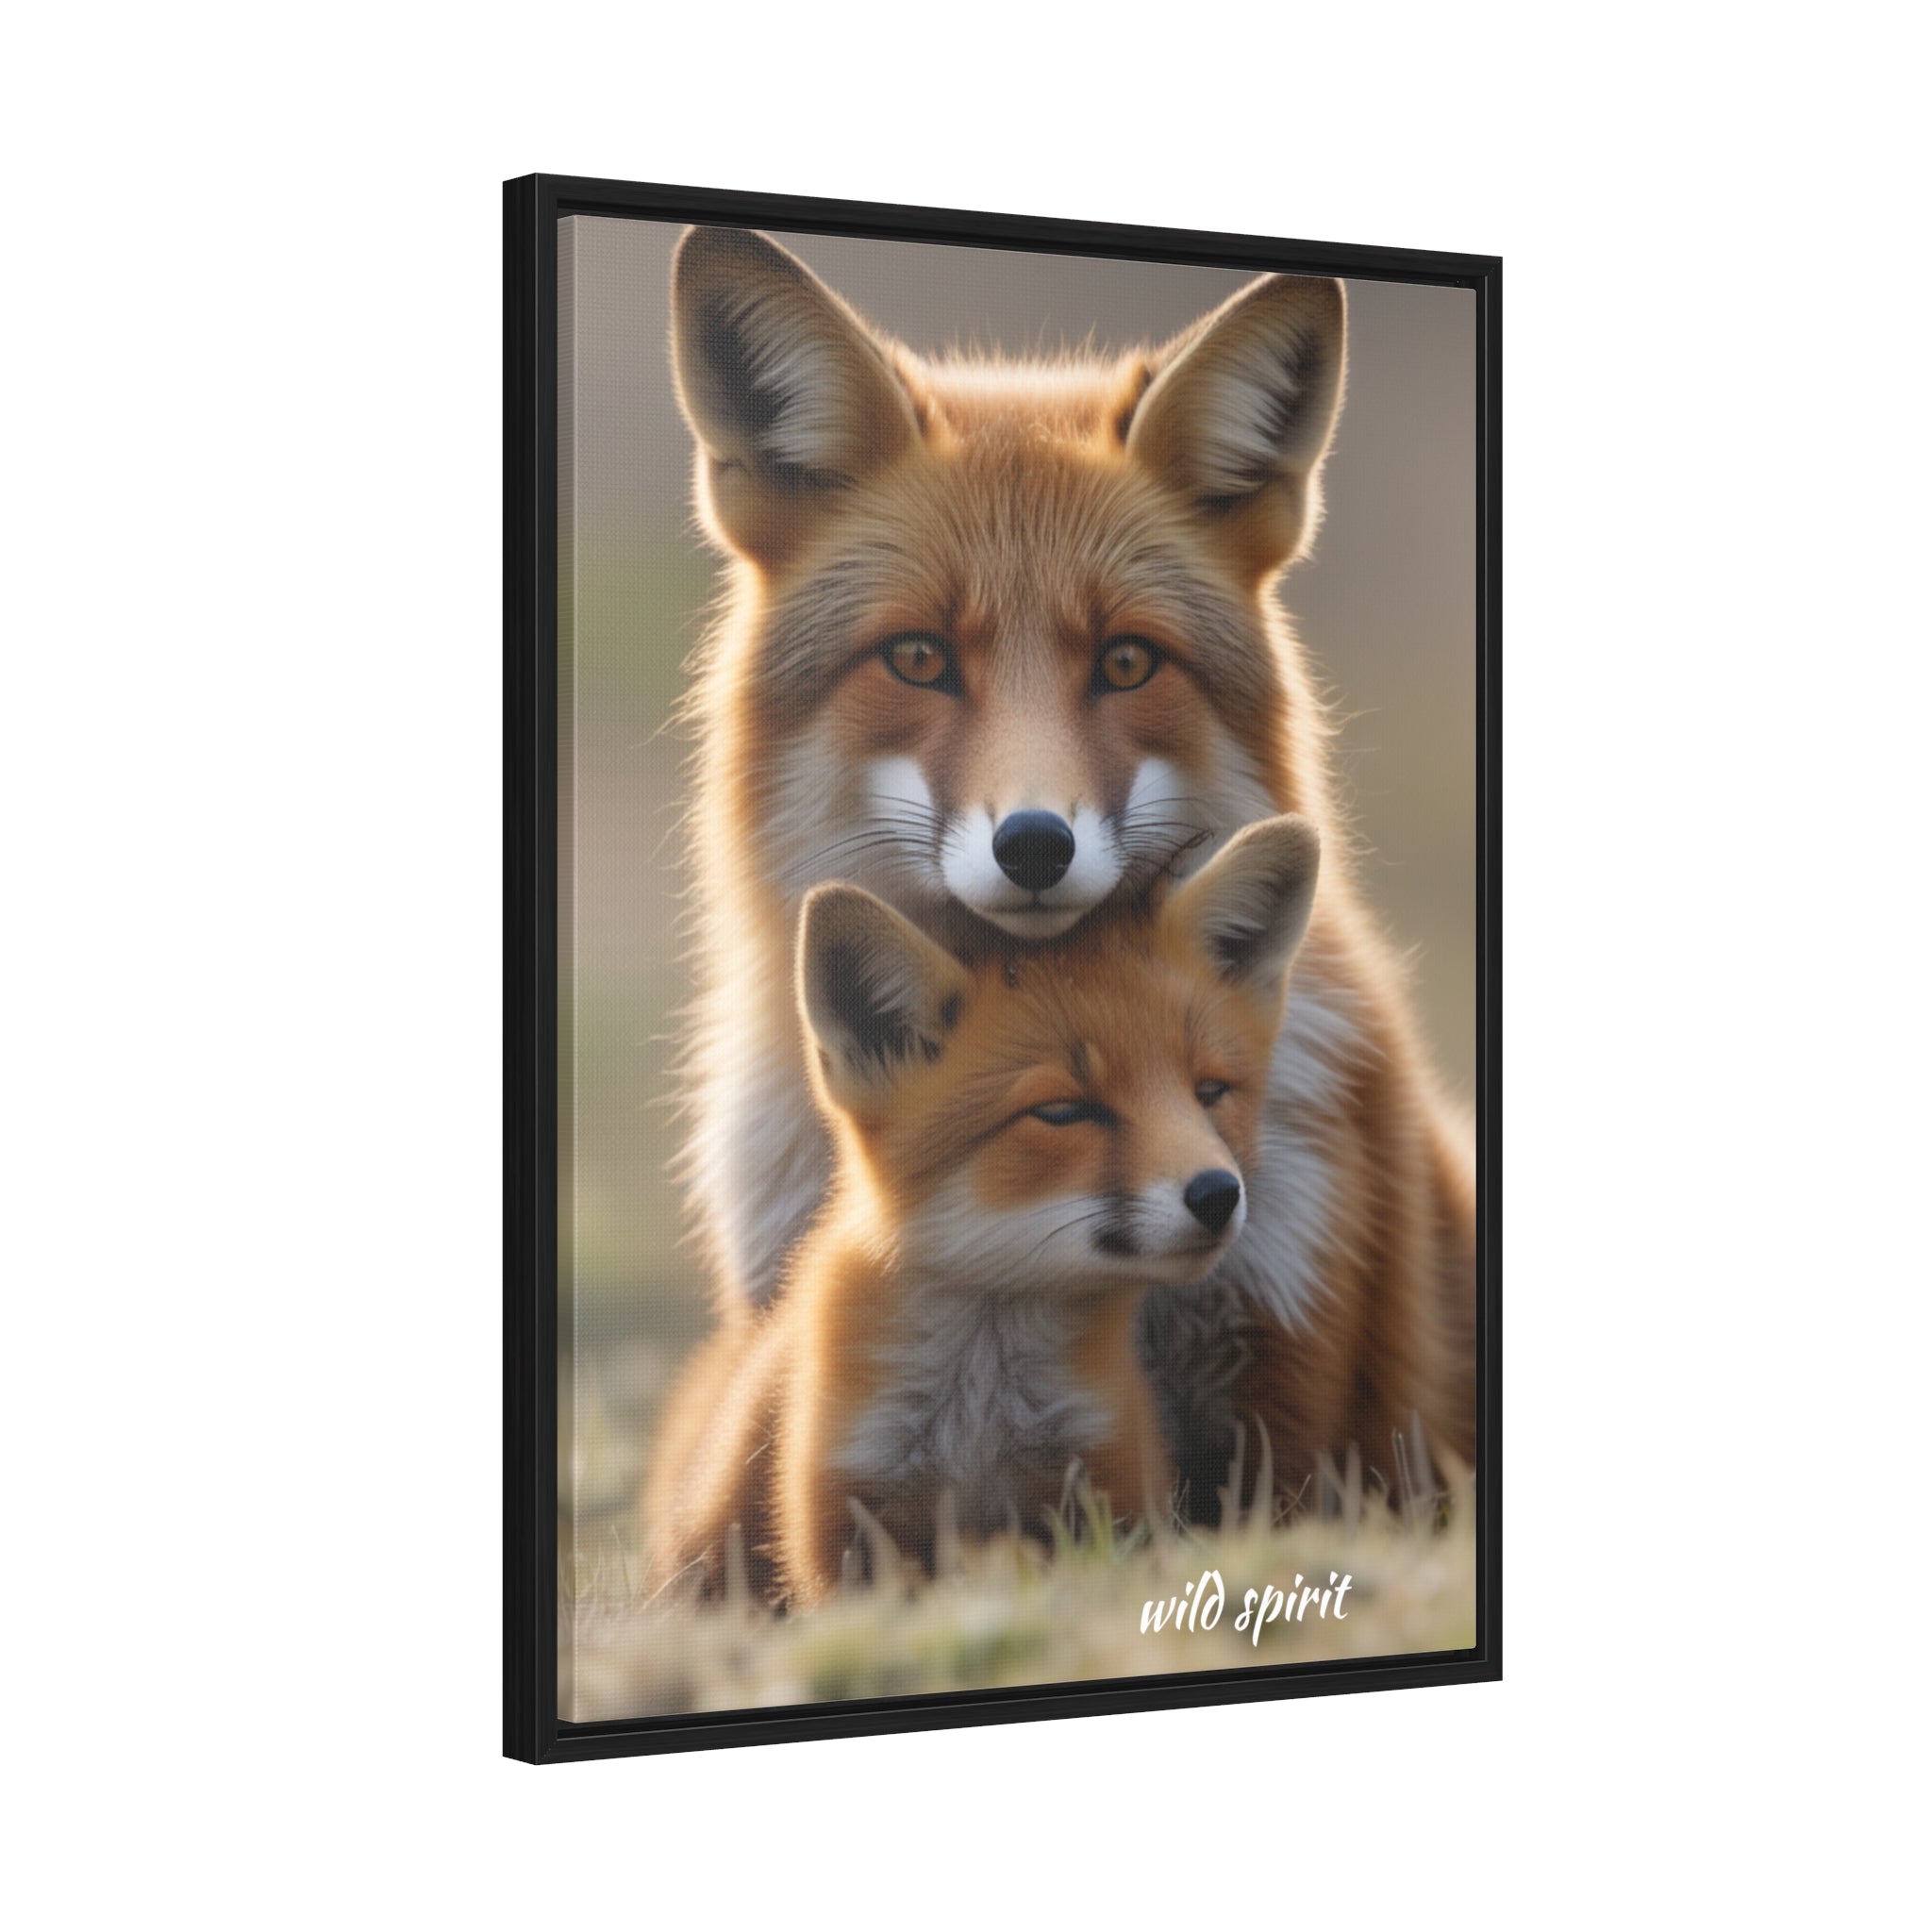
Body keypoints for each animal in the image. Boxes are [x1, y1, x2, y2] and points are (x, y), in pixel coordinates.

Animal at [646, 817, 1321, 1605]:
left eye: (1210, 1093)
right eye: (1062, 1111)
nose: (1217, 1194)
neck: (979, 1419)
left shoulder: (1109, 1487)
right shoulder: (842, 1523)